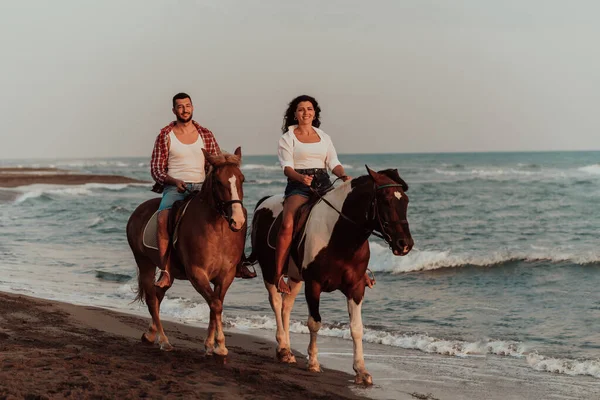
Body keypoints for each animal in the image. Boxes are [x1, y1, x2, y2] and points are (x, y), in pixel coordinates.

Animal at [126, 148, 246, 354]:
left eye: (242, 179)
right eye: (218, 181)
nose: (237, 220)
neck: (218, 230)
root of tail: (137, 211)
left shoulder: (226, 275)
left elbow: (216, 304)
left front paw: (211, 343)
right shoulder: (197, 272)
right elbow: (215, 304)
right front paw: (219, 345)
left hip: (169, 272)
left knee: (158, 295)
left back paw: (150, 334)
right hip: (145, 263)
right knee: (152, 299)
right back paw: (164, 341)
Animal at [247, 166, 412, 384]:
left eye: (405, 201)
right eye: (385, 200)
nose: (405, 244)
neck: (340, 238)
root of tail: (263, 203)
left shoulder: (356, 287)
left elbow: (357, 328)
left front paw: (361, 370)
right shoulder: (314, 284)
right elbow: (314, 322)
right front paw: (313, 363)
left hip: (295, 278)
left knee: (286, 306)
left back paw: (288, 350)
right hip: (270, 271)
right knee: (276, 302)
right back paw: (282, 348)